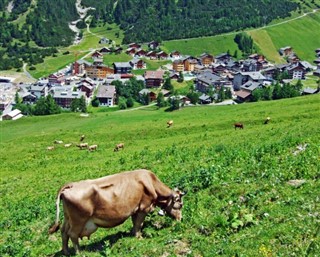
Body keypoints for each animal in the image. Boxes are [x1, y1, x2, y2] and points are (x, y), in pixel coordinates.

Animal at [48, 169, 186, 255]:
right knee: (72, 234)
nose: (180, 219)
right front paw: (139, 237)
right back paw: (79, 252)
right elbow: (139, 224)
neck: (151, 183)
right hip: (79, 220)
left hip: (68, 219)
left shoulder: (135, 209)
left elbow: (135, 223)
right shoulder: (144, 207)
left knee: (64, 232)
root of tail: (71, 185)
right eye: (180, 204)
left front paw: (133, 233)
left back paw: (66, 252)